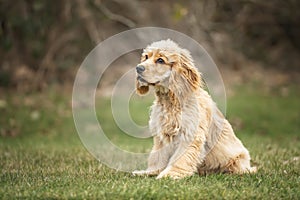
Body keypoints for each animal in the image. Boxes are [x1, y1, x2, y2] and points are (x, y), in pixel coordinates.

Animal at [132, 39, 256, 180]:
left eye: (160, 60)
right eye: (146, 57)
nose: (138, 68)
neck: (171, 101)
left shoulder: (189, 135)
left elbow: (180, 159)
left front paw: (170, 174)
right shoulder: (161, 136)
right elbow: (157, 157)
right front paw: (150, 171)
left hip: (238, 160)